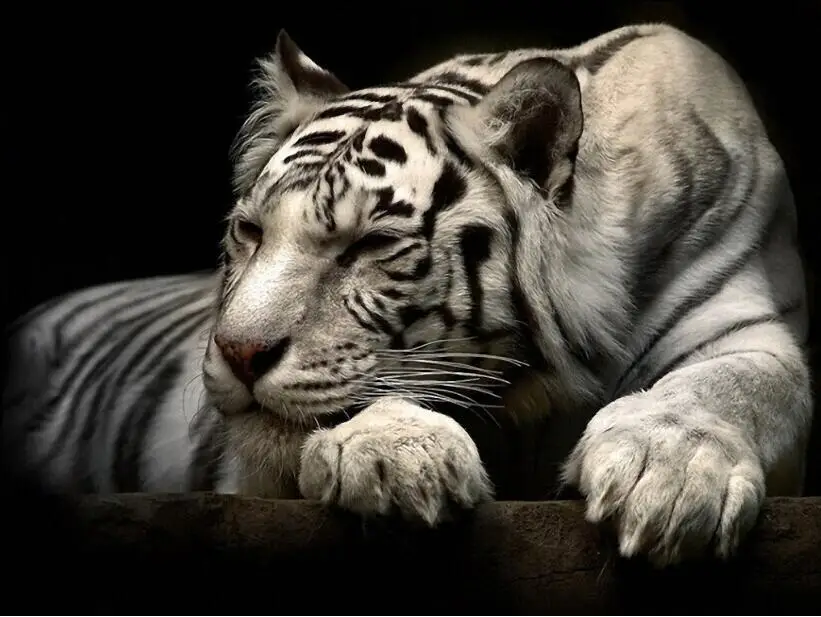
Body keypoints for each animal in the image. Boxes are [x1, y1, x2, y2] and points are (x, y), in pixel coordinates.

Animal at [2, 22, 811, 567]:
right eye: (250, 231)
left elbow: (730, 385)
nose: (237, 352)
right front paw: (394, 455)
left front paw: (668, 476)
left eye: (368, 245)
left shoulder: (746, 321)